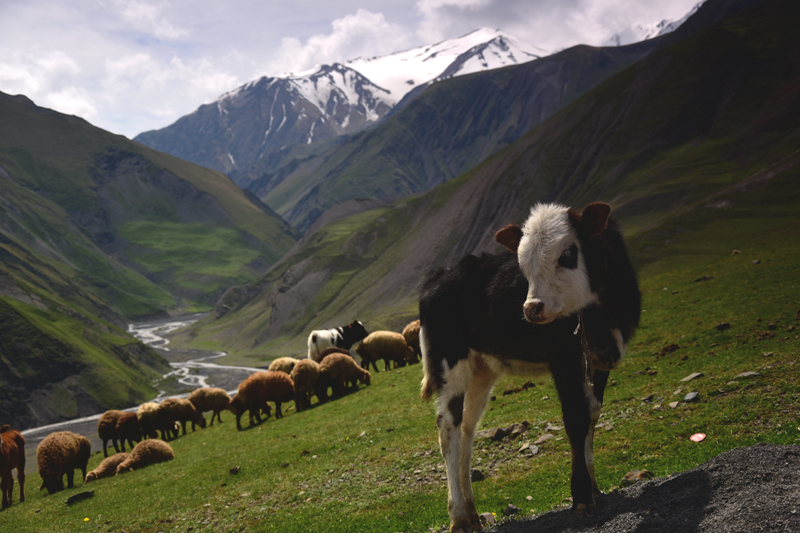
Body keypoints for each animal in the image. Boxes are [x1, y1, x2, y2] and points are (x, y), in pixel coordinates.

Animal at [422, 201, 640, 528]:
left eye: (567, 254)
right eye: (522, 263)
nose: (531, 309)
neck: (601, 315)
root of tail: (437, 278)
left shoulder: (600, 362)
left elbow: (591, 415)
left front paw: (594, 488)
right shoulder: (564, 360)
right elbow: (575, 419)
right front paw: (581, 498)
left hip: (481, 371)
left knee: (467, 431)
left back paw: (473, 514)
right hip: (451, 366)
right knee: (448, 430)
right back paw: (459, 518)